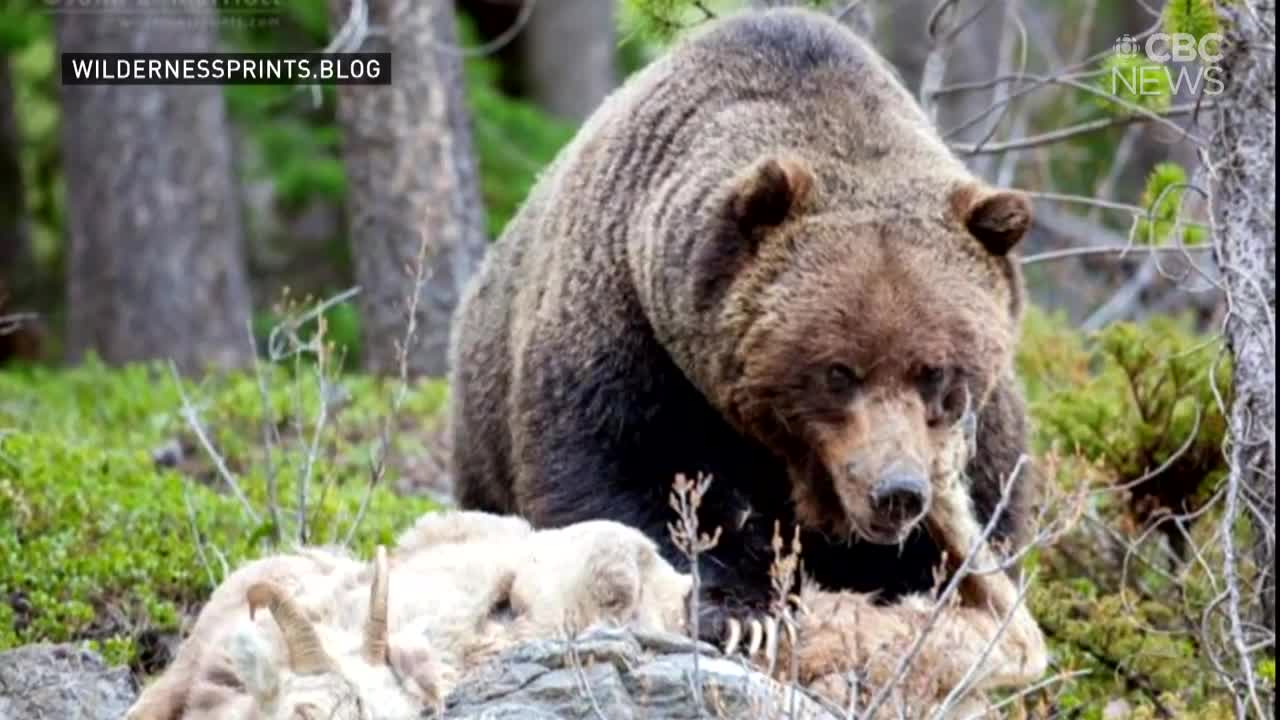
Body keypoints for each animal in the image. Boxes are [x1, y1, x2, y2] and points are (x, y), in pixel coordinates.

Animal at [445, 5, 1034, 640]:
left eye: (936, 372)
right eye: (838, 371)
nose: (896, 491)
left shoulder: (981, 437)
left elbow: (982, 519)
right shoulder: (630, 338)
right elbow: (628, 478)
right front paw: (740, 611)